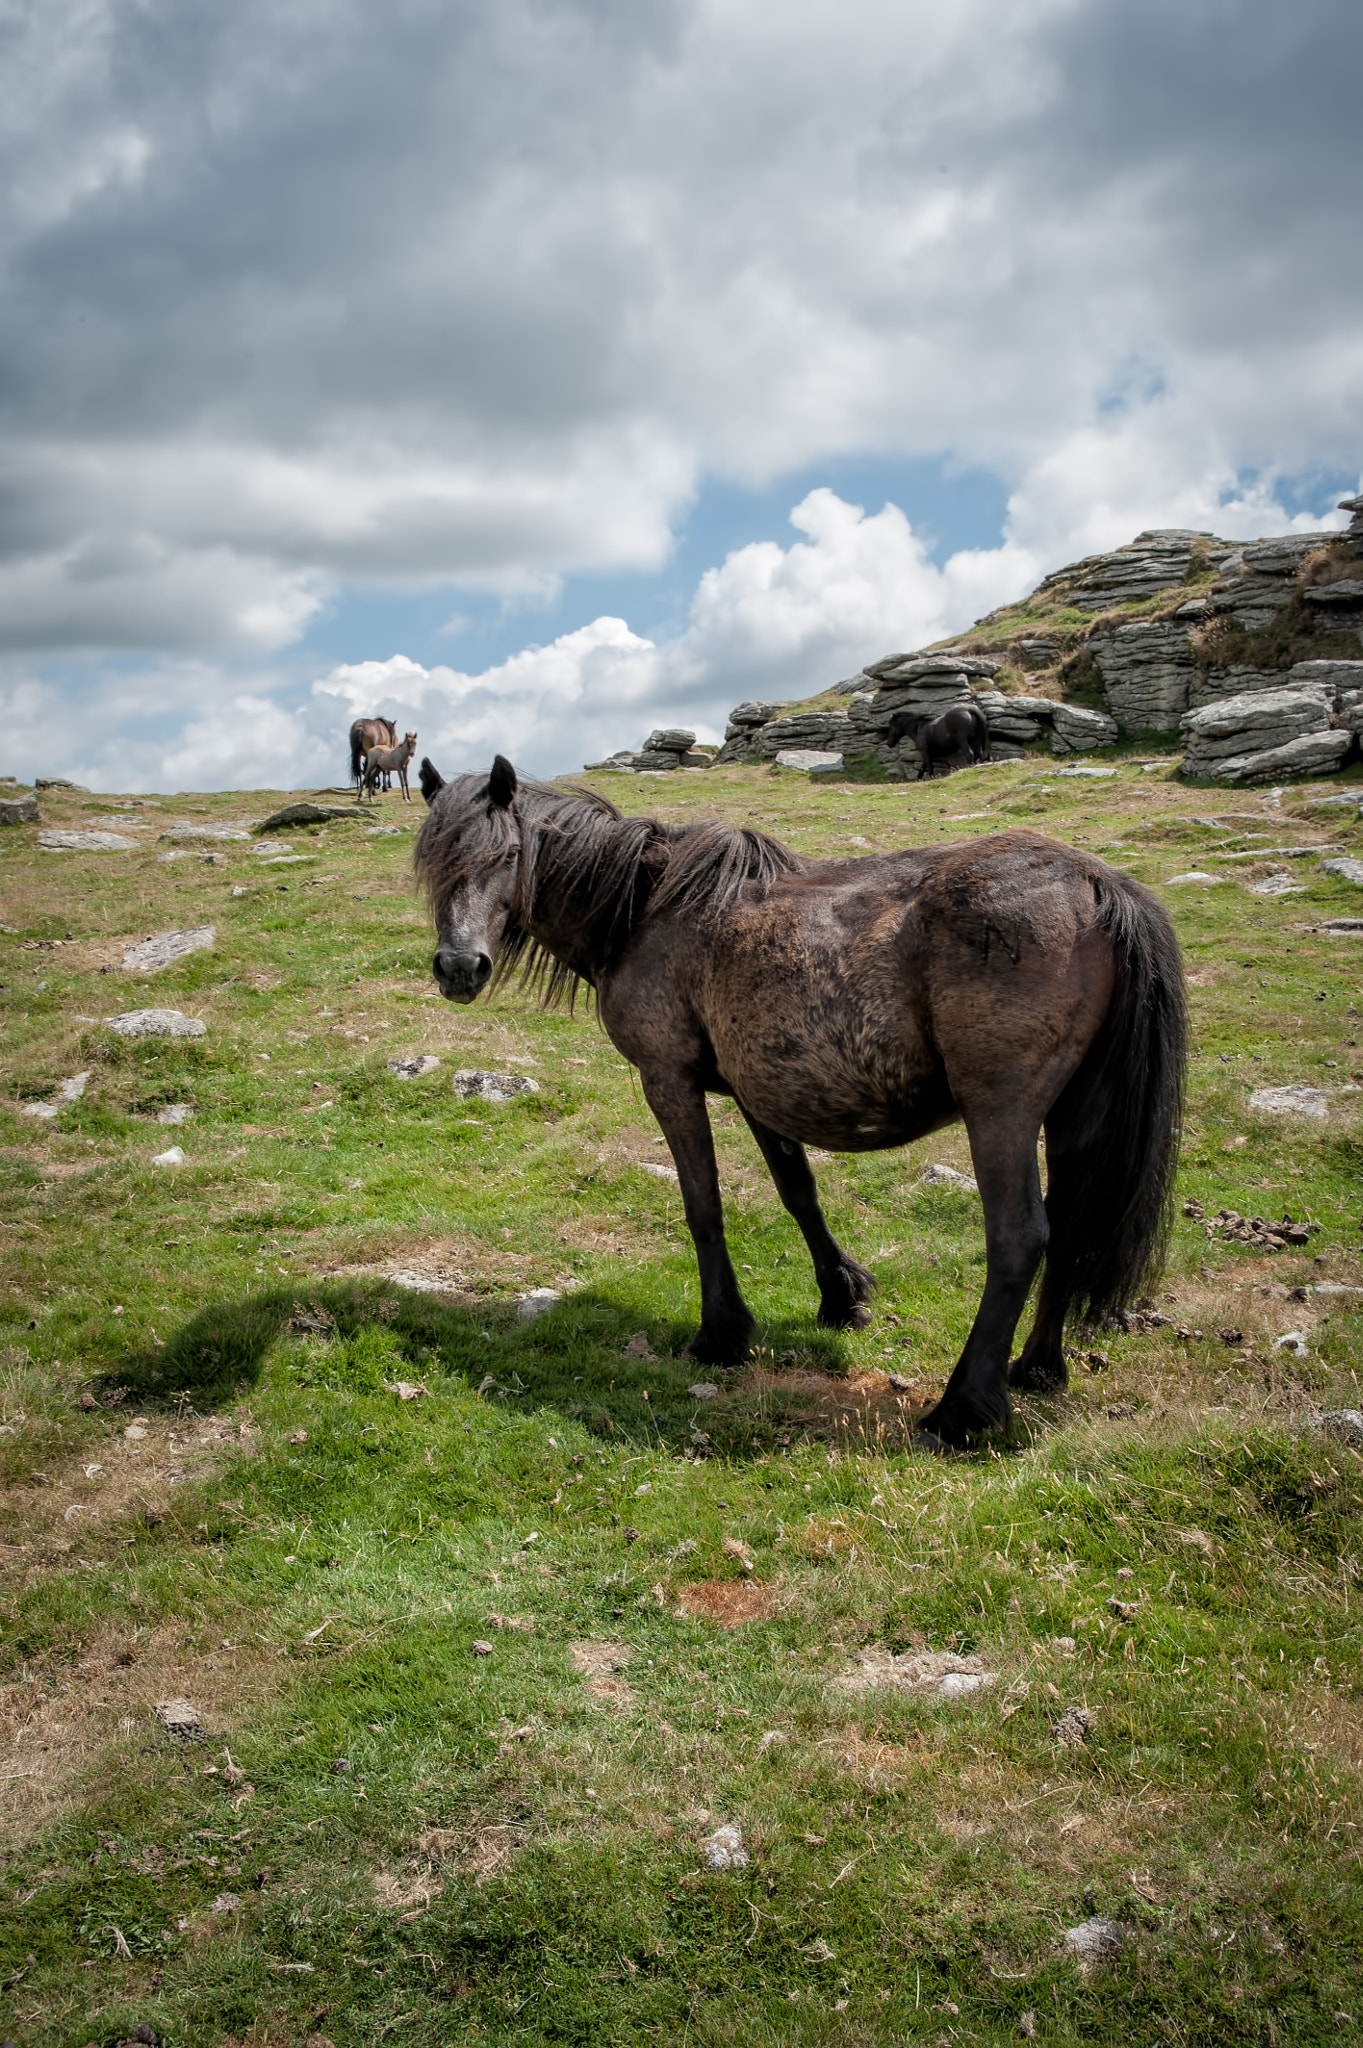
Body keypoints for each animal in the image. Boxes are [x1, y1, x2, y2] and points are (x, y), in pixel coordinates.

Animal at [414, 757, 1186, 1451]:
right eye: (430, 861)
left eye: (508, 854)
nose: (459, 968)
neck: (645, 908)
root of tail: (1095, 882)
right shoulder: (761, 1089)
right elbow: (798, 1192)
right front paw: (841, 1295)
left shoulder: (668, 1079)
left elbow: (703, 1208)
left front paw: (721, 1333)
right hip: (1073, 1113)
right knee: (1074, 1224)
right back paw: (1036, 1368)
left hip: (1002, 1112)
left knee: (1020, 1237)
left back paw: (961, 1411)